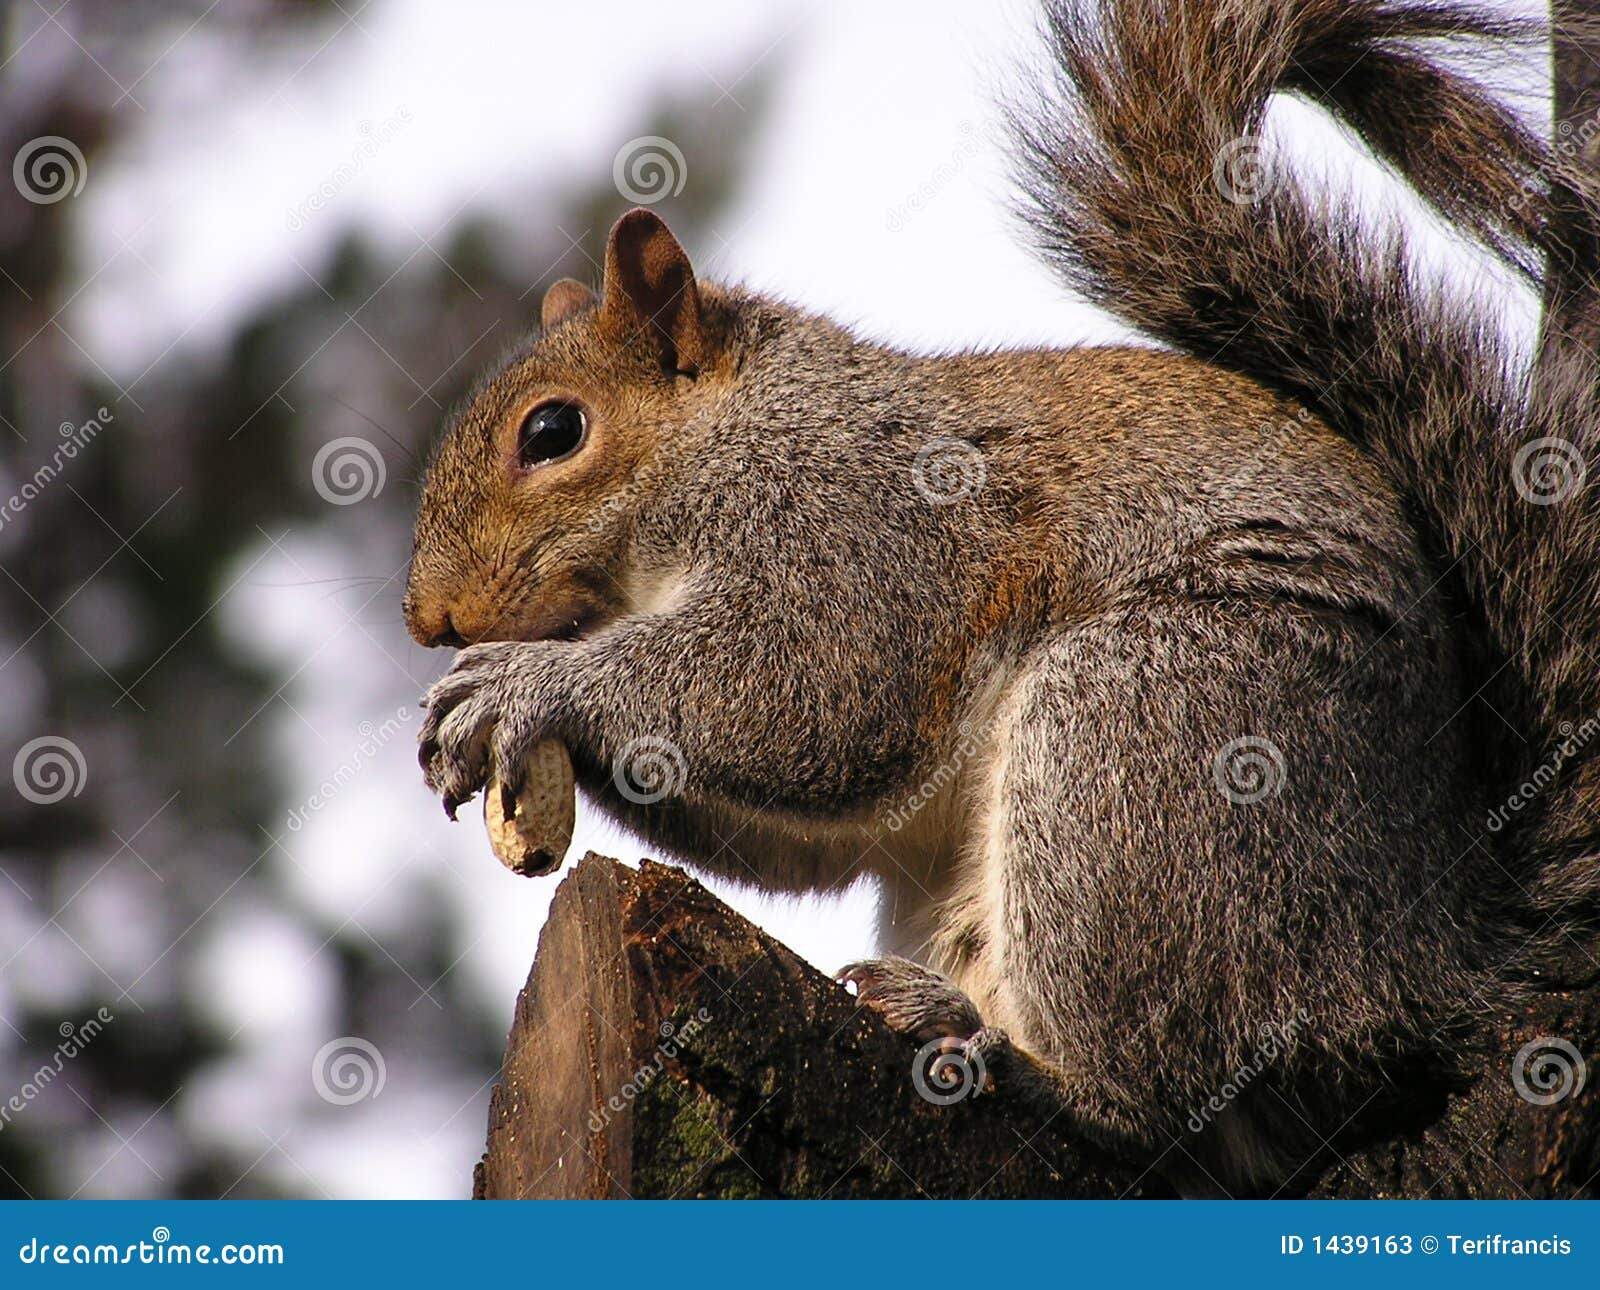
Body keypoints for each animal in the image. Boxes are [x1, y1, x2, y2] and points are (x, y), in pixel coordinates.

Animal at [404, 0, 1600, 1194]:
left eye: (552, 432)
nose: (431, 620)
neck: (727, 433)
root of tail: (1430, 950)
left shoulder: (860, 532)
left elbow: (812, 689)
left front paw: (524, 683)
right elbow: (810, 834)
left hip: (1154, 736)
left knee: (1161, 1097)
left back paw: (1023, 1066)